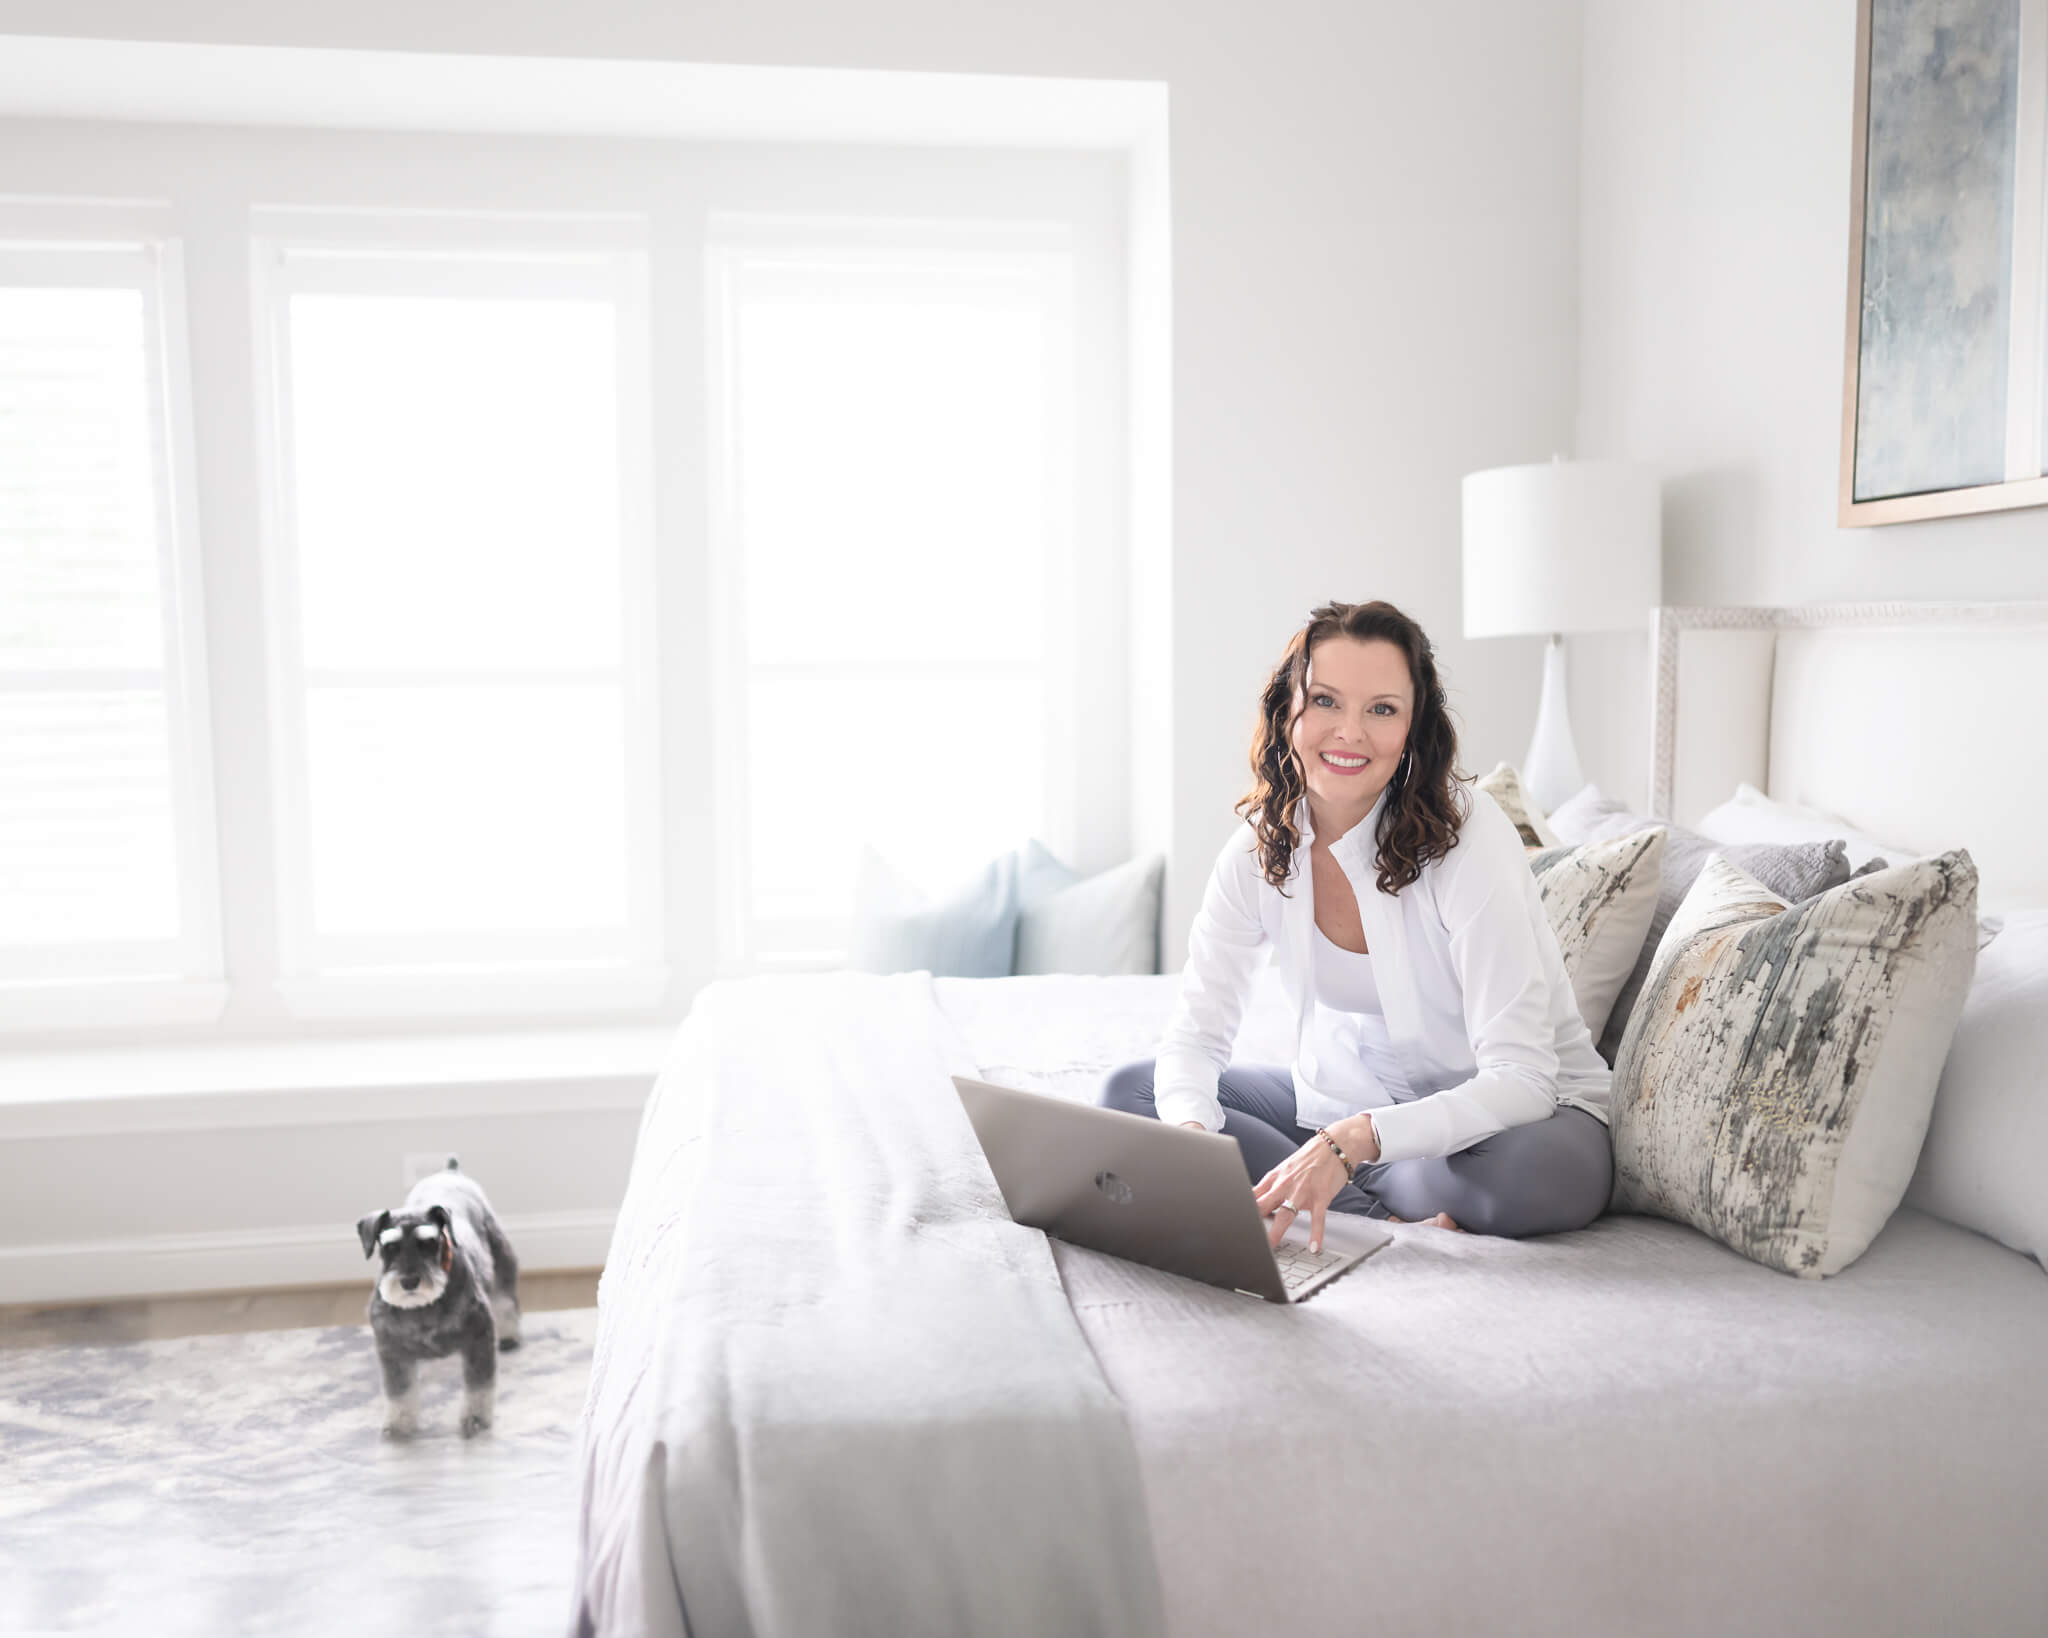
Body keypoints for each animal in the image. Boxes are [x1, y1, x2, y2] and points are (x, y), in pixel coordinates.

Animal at [352, 1154, 516, 1441]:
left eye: (429, 1242)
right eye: (389, 1246)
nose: (409, 1281)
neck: (422, 1307)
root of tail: (449, 1171)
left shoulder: (479, 1338)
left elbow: (478, 1386)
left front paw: (475, 1419)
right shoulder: (391, 1350)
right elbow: (399, 1391)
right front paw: (399, 1425)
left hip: (501, 1254)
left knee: (506, 1297)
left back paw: (509, 1335)